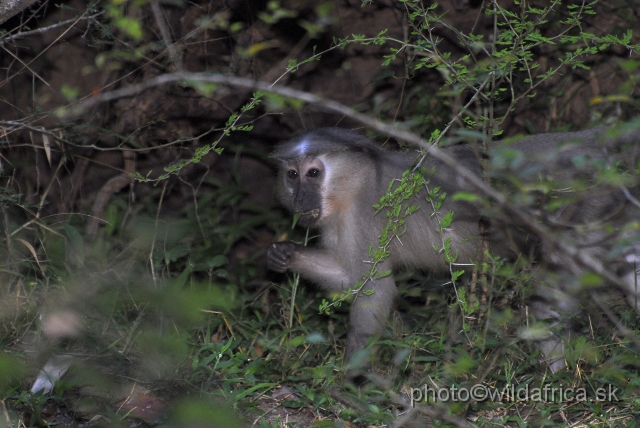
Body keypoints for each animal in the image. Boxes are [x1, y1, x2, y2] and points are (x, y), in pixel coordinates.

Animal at [268, 125, 640, 370]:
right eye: (292, 175)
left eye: (313, 173)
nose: (300, 199)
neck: (355, 181)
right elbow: (350, 278)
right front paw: (285, 254)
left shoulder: (361, 216)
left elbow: (375, 290)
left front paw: (352, 381)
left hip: (587, 206)